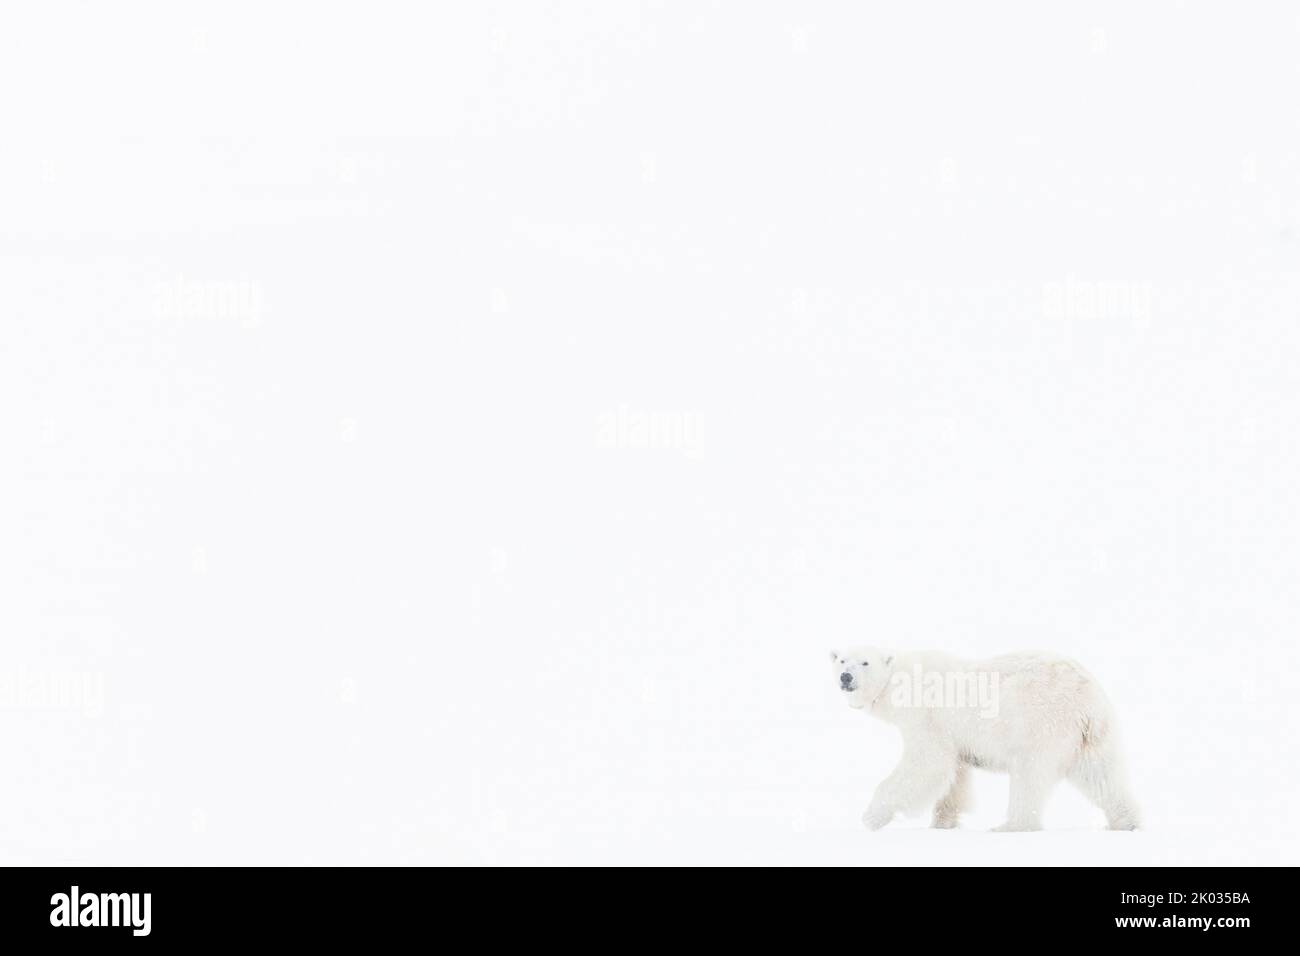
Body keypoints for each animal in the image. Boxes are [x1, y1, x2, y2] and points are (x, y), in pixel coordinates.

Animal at [832, 650, 1138, 832]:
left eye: (864, 661)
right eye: (841, 659)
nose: (845, 677)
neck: (900, 681)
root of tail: (1088, 693)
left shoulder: (927, 718)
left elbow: (926, 764)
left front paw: (871, 817)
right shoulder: (954, 736)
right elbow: (954, 774)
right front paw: (943, 822)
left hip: (1038, 721)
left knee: (1028, 775)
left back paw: (1010, 826)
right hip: (1089, 735)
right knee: (1101, 775)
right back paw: (1126, 822)